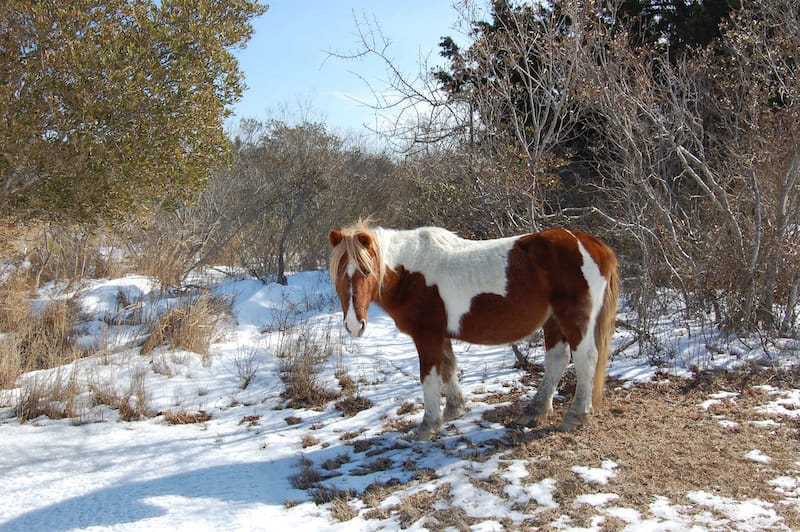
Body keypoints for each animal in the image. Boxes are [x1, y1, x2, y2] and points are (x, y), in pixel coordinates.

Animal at [324, 220, 620, 440]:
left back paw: (575, 415)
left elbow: (429, 377)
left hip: (574, 319)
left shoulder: (426, 335)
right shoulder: (440, 335)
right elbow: (448, 368)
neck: (410, 273)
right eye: (338, 275)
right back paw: (535, 410)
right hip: (554, 321)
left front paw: (428, 424)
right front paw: (454, 409)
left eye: (366, 271)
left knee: (585, 360)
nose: (354, 325)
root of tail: (593, 244)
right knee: (557, 360)